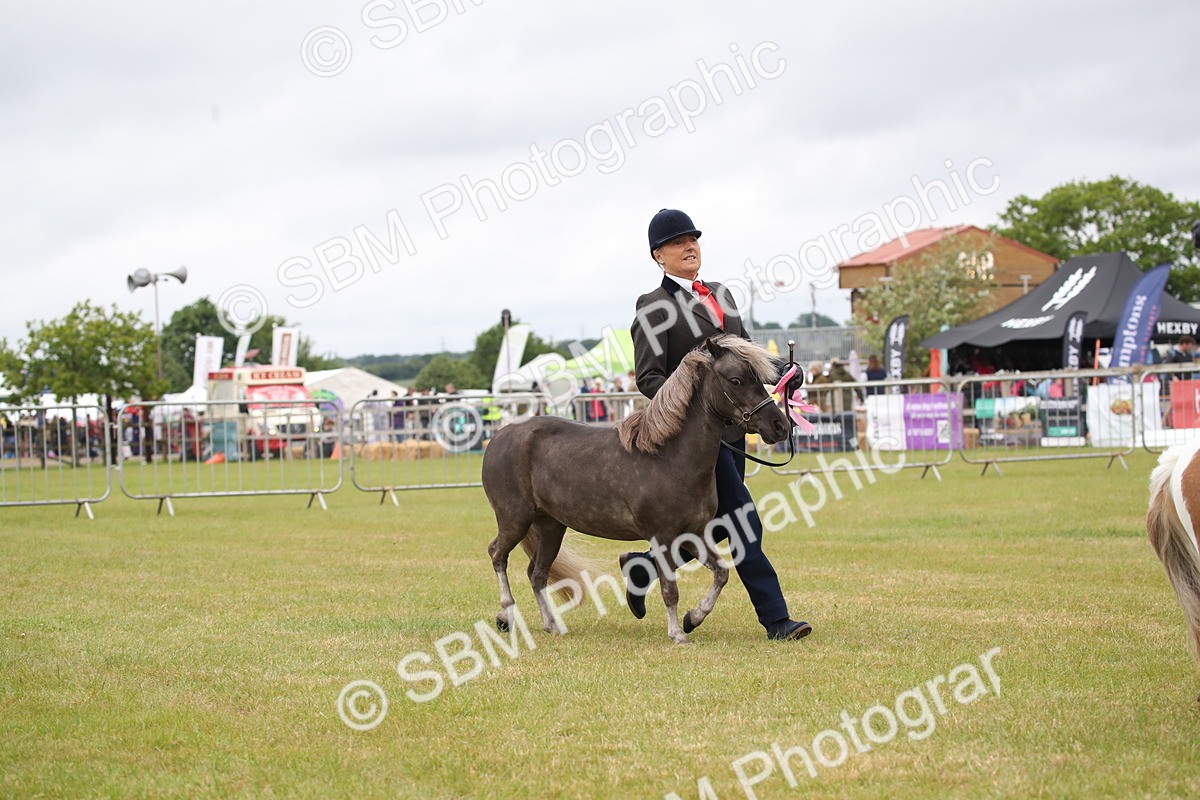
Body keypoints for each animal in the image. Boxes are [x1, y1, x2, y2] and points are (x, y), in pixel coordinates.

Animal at [481, 334, 791, 644]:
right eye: (736, 380)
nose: (780, 425)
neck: (669, 457)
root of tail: (499, 437)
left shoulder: (695, 534)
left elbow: (721, 574)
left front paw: (694, 617)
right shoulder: (663, 538)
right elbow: (670, 589)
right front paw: (678, 633)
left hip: (550, 527)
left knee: (537, 574)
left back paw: (551, 625)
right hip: (515, 519)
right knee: (497, 554)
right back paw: (506, 614)